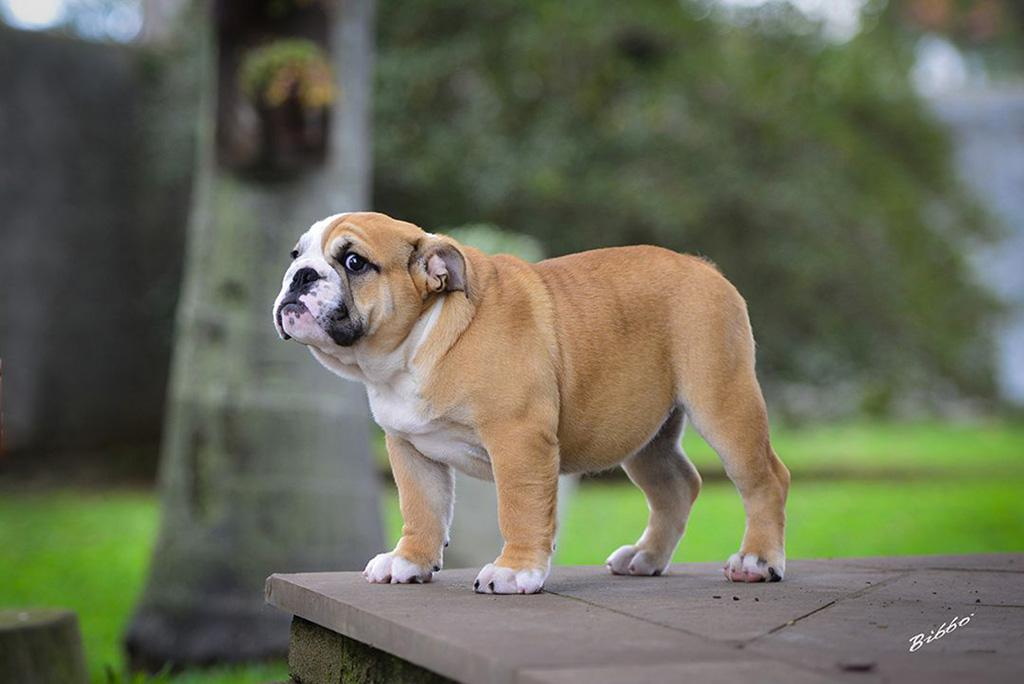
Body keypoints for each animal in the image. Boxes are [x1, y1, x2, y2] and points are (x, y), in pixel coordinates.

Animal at [272, 210, 790, 589]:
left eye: (354, 262)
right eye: (296, 254)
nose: (299, 276)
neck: (417, 345)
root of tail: (703, 267)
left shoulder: (517, 439)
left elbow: (519, 508)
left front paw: (514, 570)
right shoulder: (410, 449)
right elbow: (421, 509)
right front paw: (410, 561)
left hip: (722, 399)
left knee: (765, 478)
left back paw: (757, 560)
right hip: (644, 433)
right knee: (676, 486)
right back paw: (645, 557)